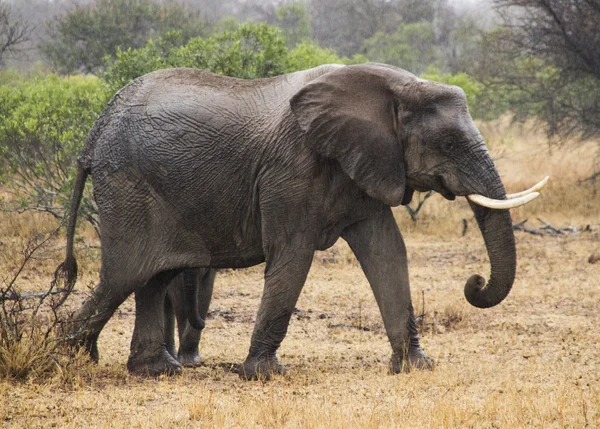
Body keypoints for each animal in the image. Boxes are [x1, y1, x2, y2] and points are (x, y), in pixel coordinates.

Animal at [54, 61, 540, 376]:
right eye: (448, 143)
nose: (474, 282)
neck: (391, 87)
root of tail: (95, 132)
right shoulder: (292, 170)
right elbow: (292, 257)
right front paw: (265, 374)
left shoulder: (366, 164)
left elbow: (387, 252)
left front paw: (417, 366)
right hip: (128, 187)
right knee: (124, 276)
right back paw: (67, 358)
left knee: (152, 278)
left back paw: (155, 370)